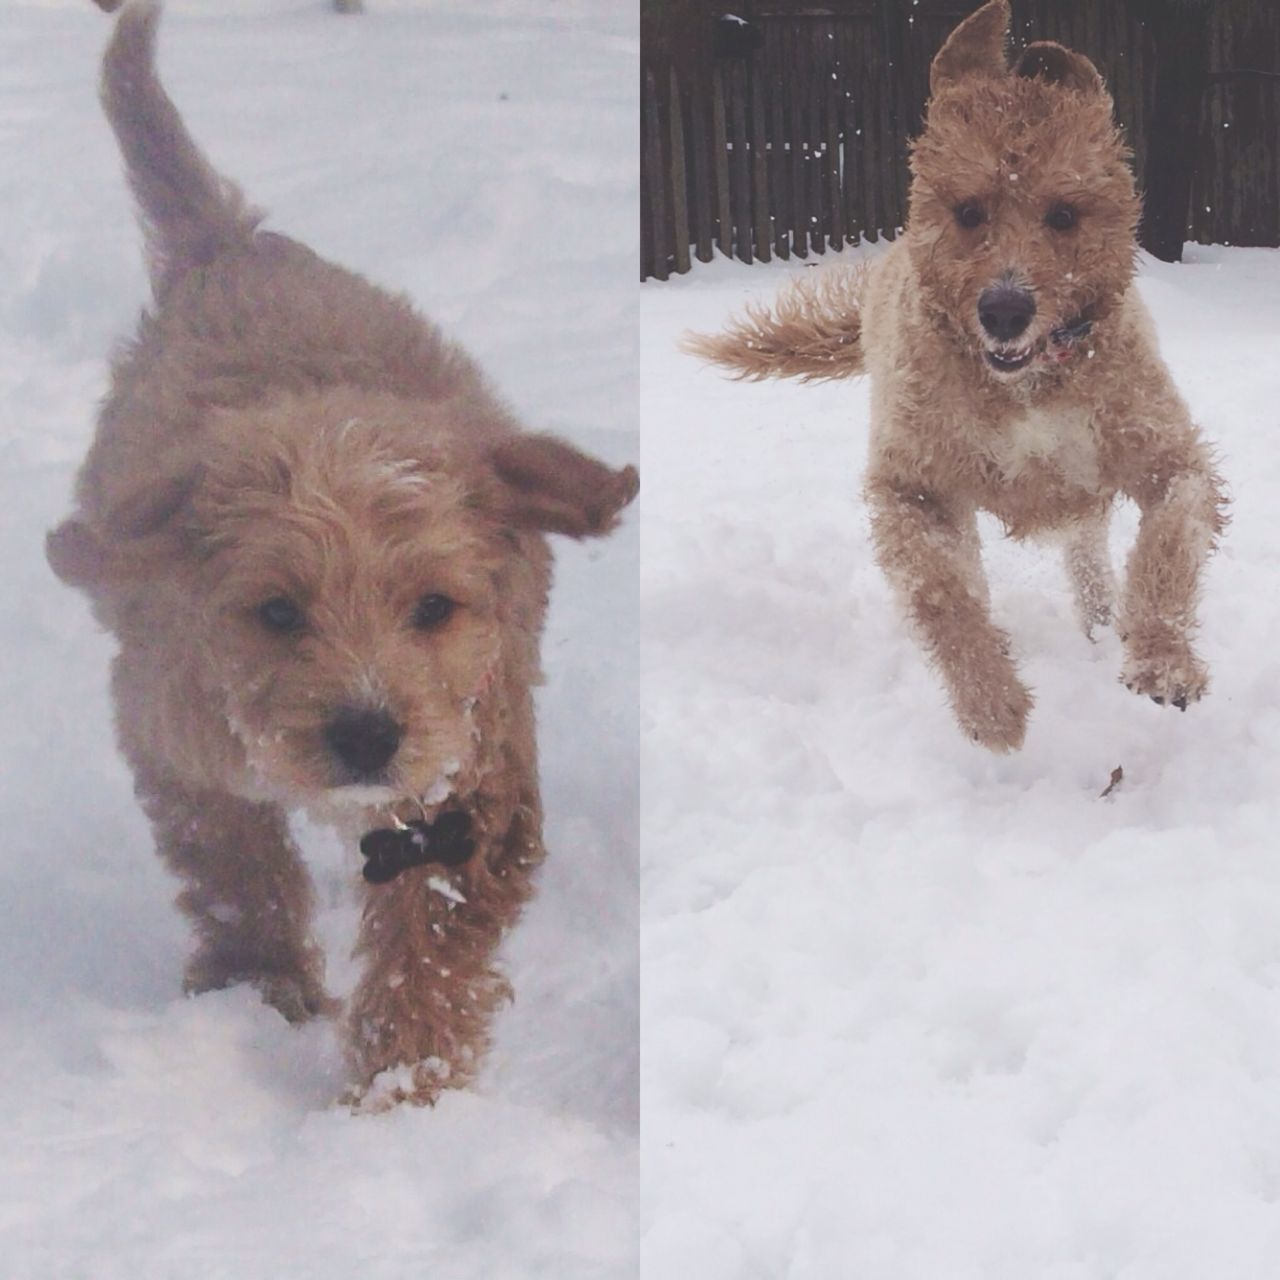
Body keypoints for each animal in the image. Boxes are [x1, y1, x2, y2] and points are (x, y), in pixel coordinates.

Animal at [49, 2, 640, 1111]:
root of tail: (230, 243)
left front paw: (401, 1086)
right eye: (277, 611)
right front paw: (260, 985)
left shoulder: (473, 759)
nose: (366, 734)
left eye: (435, 607)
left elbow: (431, 930)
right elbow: (232, 857)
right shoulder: (174, 723)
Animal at [691, 0, 1228, 752]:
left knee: (1090, 560)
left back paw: (1103, 627)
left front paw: (1162, 661)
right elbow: (942, 594)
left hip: (1086, 501)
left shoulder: (1166, 454)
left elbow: (1168, 546)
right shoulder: (915, 486)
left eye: (1064, 214)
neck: (1025, 387)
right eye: (969, 210)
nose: (1004, 310)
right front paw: (992, 705)